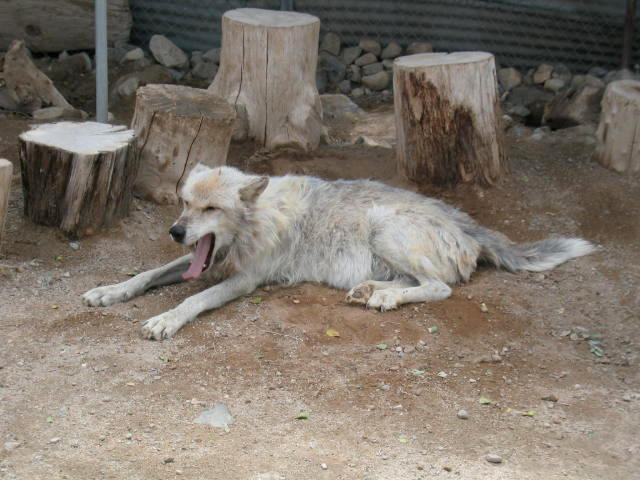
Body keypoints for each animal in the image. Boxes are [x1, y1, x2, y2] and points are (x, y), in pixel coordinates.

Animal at [83, 164, 594, 340]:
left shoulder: (243, 281)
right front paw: (108, 292)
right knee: (414, 282)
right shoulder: (203, 263)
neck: (255, 222)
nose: (175, 231)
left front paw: (166, 320)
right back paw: (371, 290)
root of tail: (468, 222)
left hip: (384, 224)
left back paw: (383, 297)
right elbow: (145, 275)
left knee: (439, 288)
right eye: (185, 203)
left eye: (211, 208)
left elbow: (191, 298)